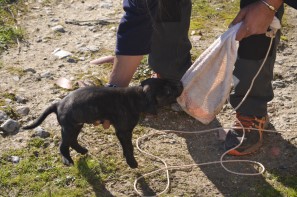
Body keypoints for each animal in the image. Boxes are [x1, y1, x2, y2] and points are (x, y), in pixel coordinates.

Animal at [22, 78, 182, 168]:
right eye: (168, 91)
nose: (180, 83)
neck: (138, 96)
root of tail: (58, 103)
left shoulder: (122, 132)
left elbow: (126, 147)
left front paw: (127, 157)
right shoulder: (124, 132)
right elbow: (129, 147)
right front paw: (132, 162)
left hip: (76, 126)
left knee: (72, 141)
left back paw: (82, 150)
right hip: (69, 128)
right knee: (63, 145)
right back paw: (67, 160)